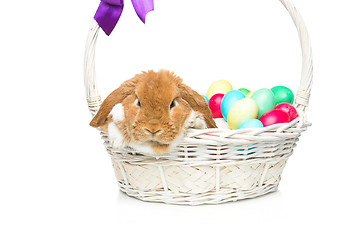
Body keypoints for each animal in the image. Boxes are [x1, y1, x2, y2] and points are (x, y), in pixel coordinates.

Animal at [89, 69, 217, 156]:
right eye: (138, 102)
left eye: (172, 104)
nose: (153, 129)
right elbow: (113, 122)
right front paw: (117, 143)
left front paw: (197, 123)